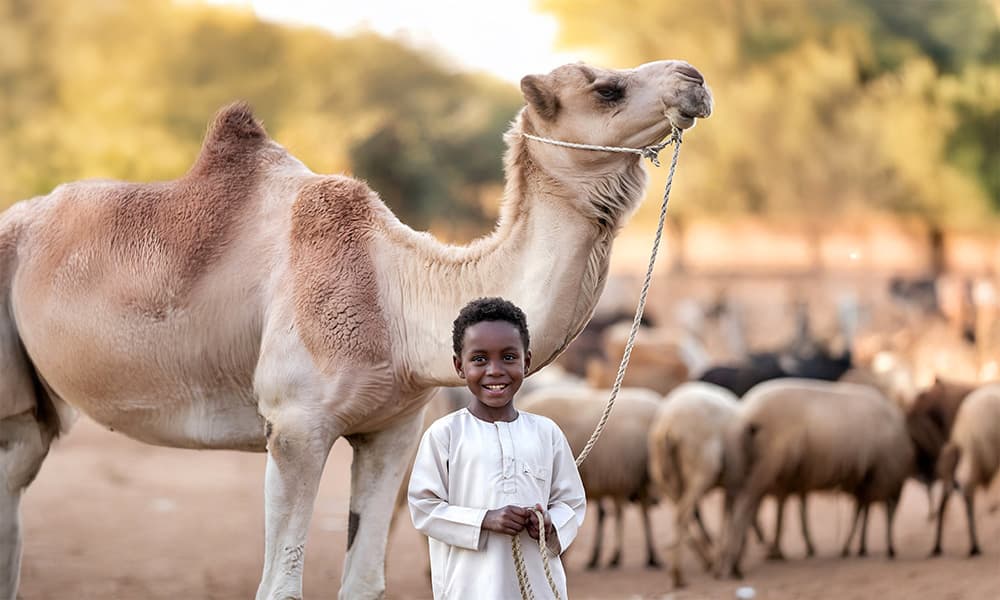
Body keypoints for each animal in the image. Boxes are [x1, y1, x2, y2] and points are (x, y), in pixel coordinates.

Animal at [0, 60, 711, 599]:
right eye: (607, 87)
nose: (694, 78)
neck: (397, 298)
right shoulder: (294, 427)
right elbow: (280, 586)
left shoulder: (393, 429)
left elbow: (365, 578)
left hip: (33, 417)